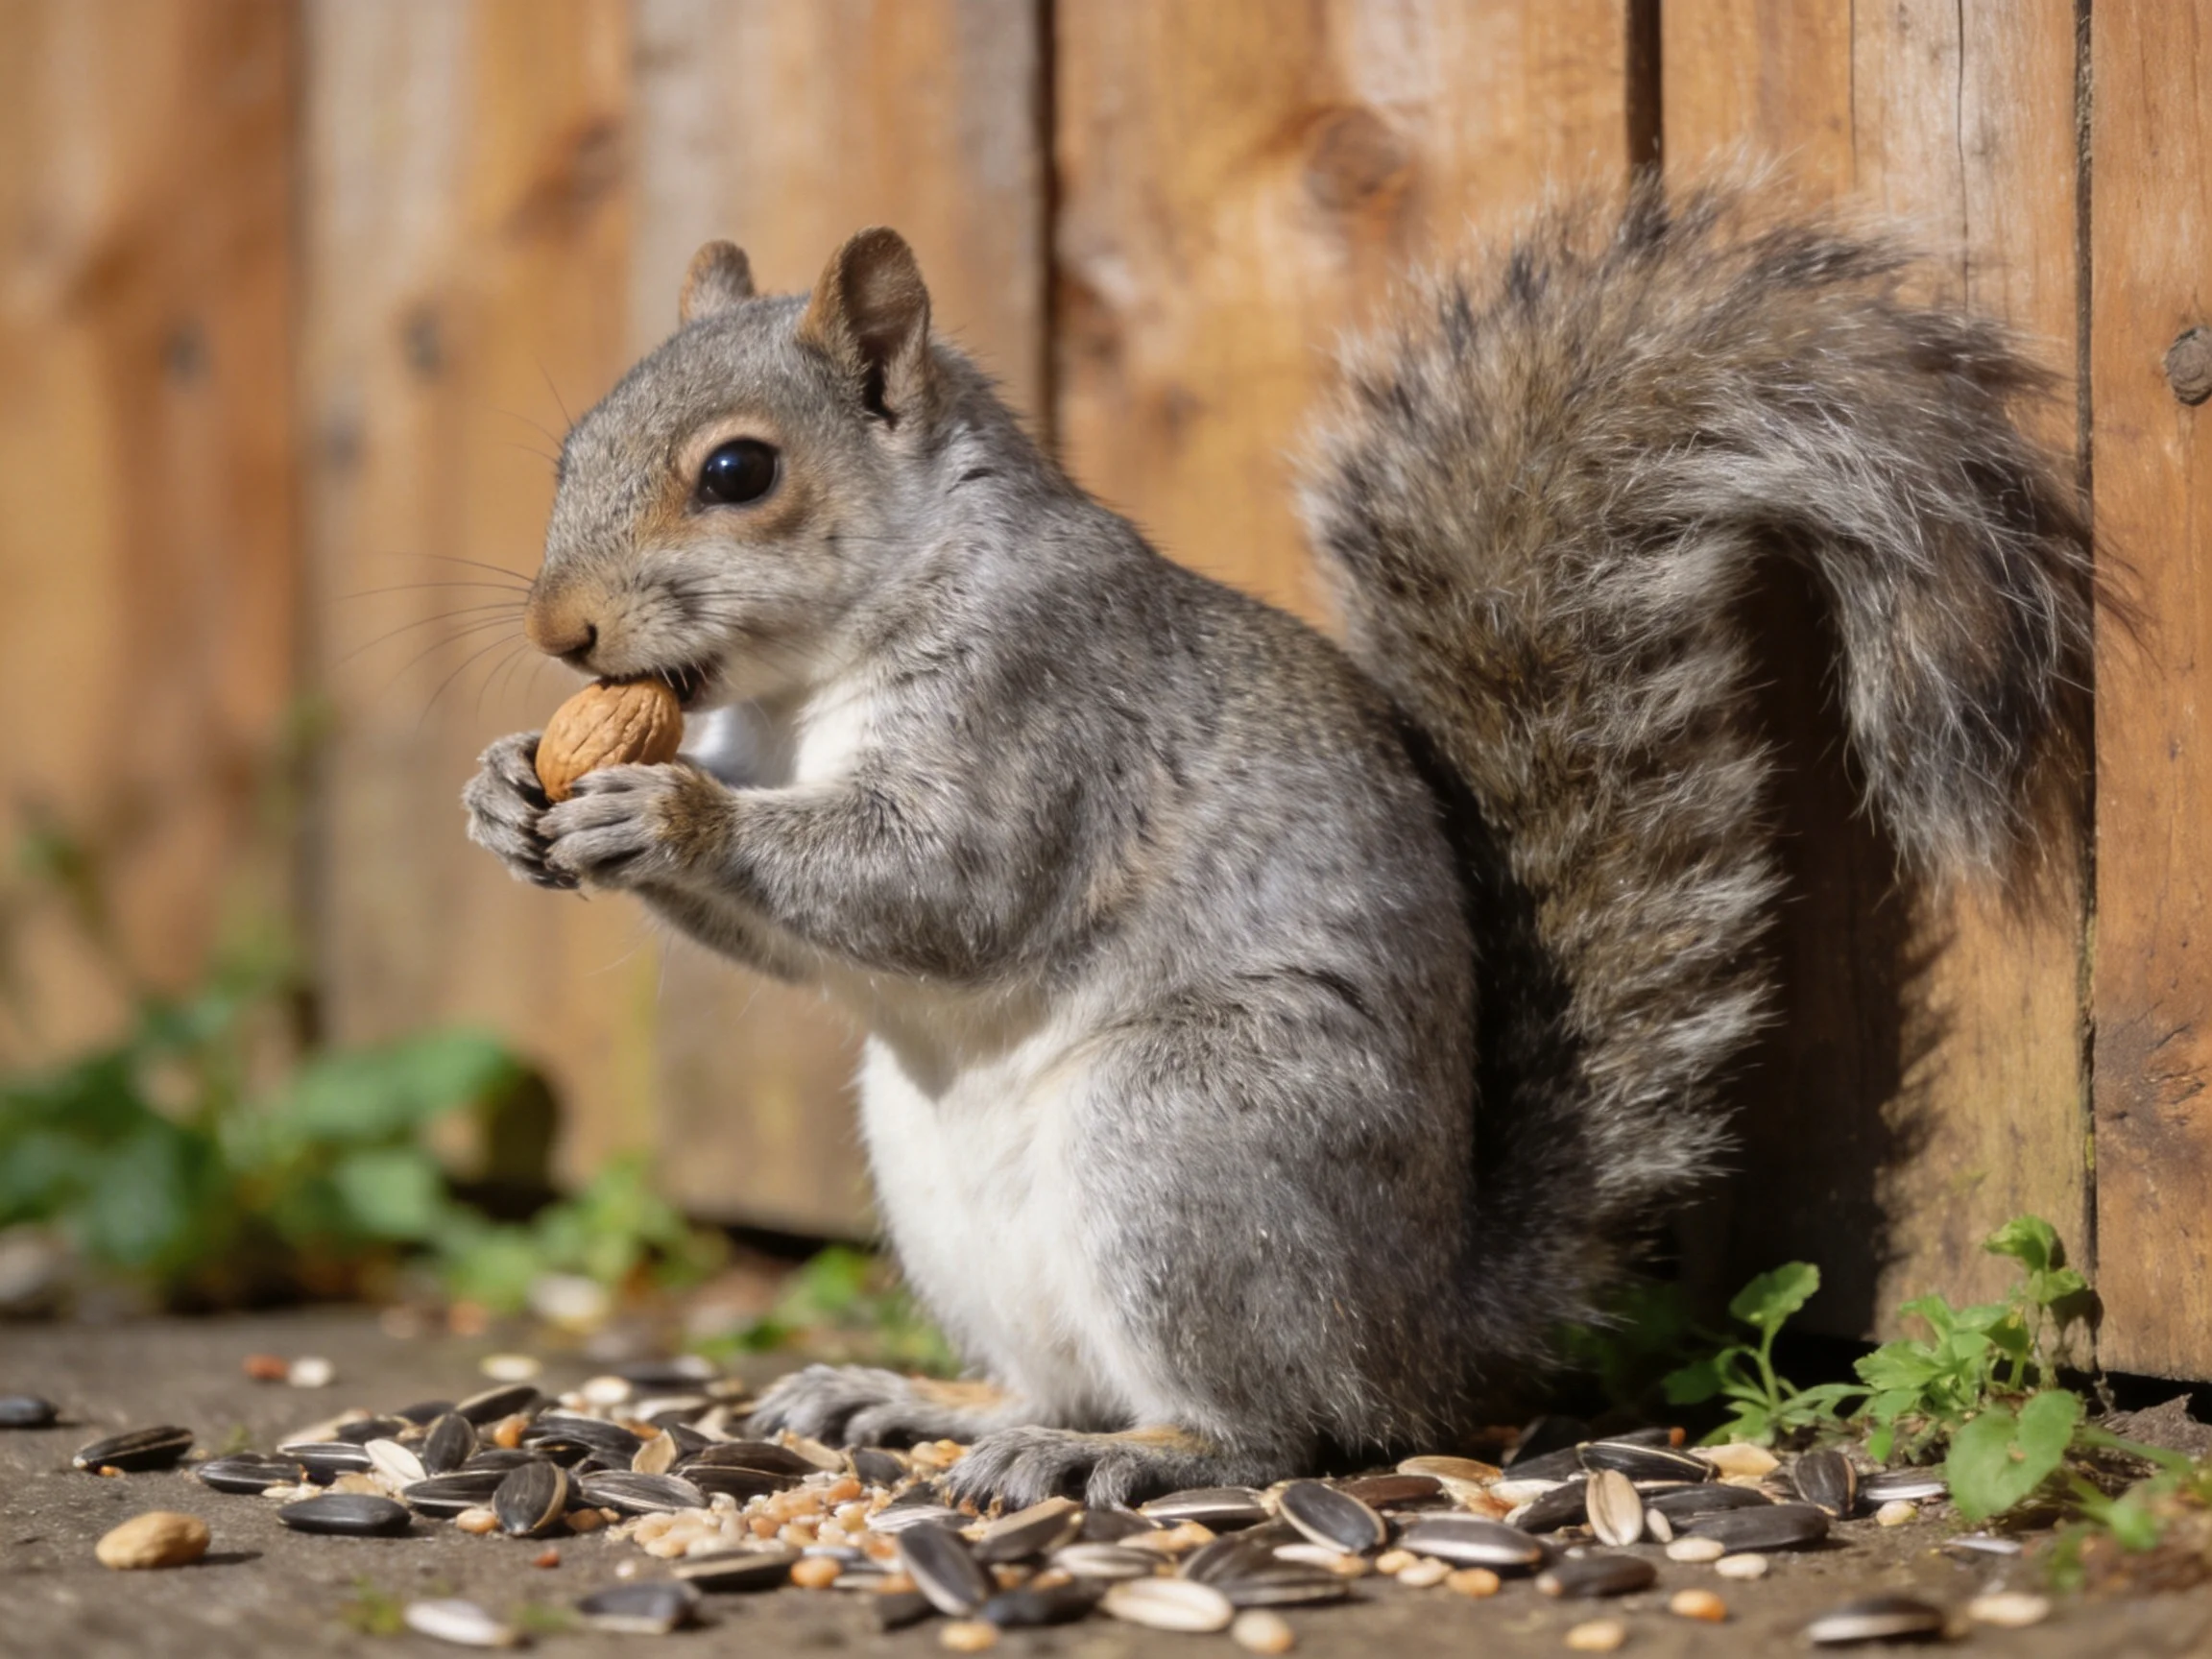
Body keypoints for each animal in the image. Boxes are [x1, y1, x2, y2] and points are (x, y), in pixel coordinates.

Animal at [464, 177, 2092, 1508]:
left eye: (739, 474)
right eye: (569, 448)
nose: (558, 633)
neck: (810, 683)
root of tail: (1426, 1328)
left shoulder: (1042, 711)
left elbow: (945, 885)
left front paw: (665, 811)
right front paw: (508, 792)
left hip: (1185, 1143)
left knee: (1282, 1427)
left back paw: (1126, 1455)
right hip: (951, 1198)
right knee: (1074, 1376)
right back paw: (926, 1400)